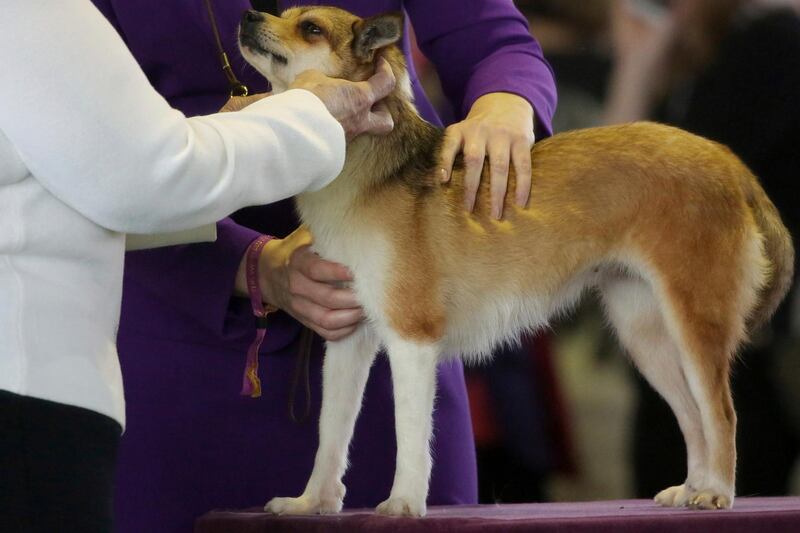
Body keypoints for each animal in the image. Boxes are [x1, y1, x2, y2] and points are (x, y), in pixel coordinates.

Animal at [236, 6, 792, 516]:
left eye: (310, 27)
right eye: (284, 13)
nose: (248, 15)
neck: (375, 175)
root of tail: (728, 163)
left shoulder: (411, 338)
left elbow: (412, 432)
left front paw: (403, 503)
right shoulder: (348, 341)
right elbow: (331, 433)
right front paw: (313, 502)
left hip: (696, 320)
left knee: (721, 414)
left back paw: (717, 491)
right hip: (647, 334)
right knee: (694, 416)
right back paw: (693, 488)